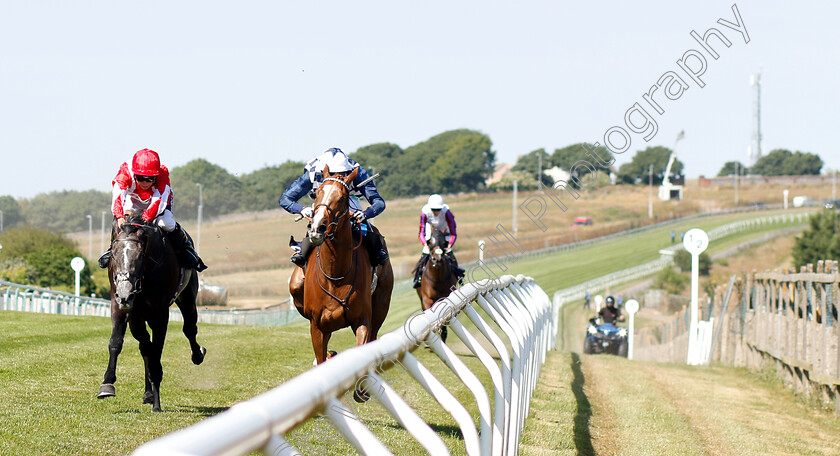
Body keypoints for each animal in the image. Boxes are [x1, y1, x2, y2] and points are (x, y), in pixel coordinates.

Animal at [95, 212, 205, 412]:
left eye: (140, 255)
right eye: (113, 254)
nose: (125, 293)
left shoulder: (160, 314)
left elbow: (156, 351)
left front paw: (157, 404)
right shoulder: (122, 307)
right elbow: (117, 342)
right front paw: (107, 384)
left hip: (187, 297)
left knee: (189, 328)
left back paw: (197, 354)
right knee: (145, 346)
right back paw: (148, 393)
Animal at [288, 164, 394, 366]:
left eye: (343, 197)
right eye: (317, 193)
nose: (317, 228)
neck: (335, 275)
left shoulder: (362, 321)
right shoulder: (317, 326)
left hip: (382, 303)